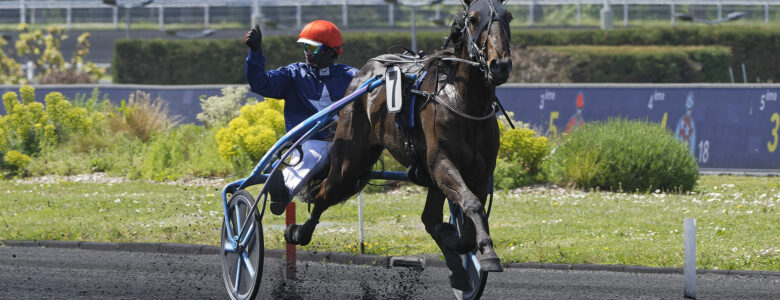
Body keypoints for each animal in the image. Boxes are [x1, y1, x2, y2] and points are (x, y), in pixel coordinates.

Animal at [284, 0, 516, 290]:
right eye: (474, 19)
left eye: (509, 17)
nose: (500, 65)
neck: (463, 101)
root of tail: (365, 70)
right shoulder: (441, 163)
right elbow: (472, 205)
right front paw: (486, 253)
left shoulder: (481, 171)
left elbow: (469, 220)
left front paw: (463, 243)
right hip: (350, 160)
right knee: (324, 193)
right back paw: (298, 232)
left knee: (429, 218)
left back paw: (459, 272)